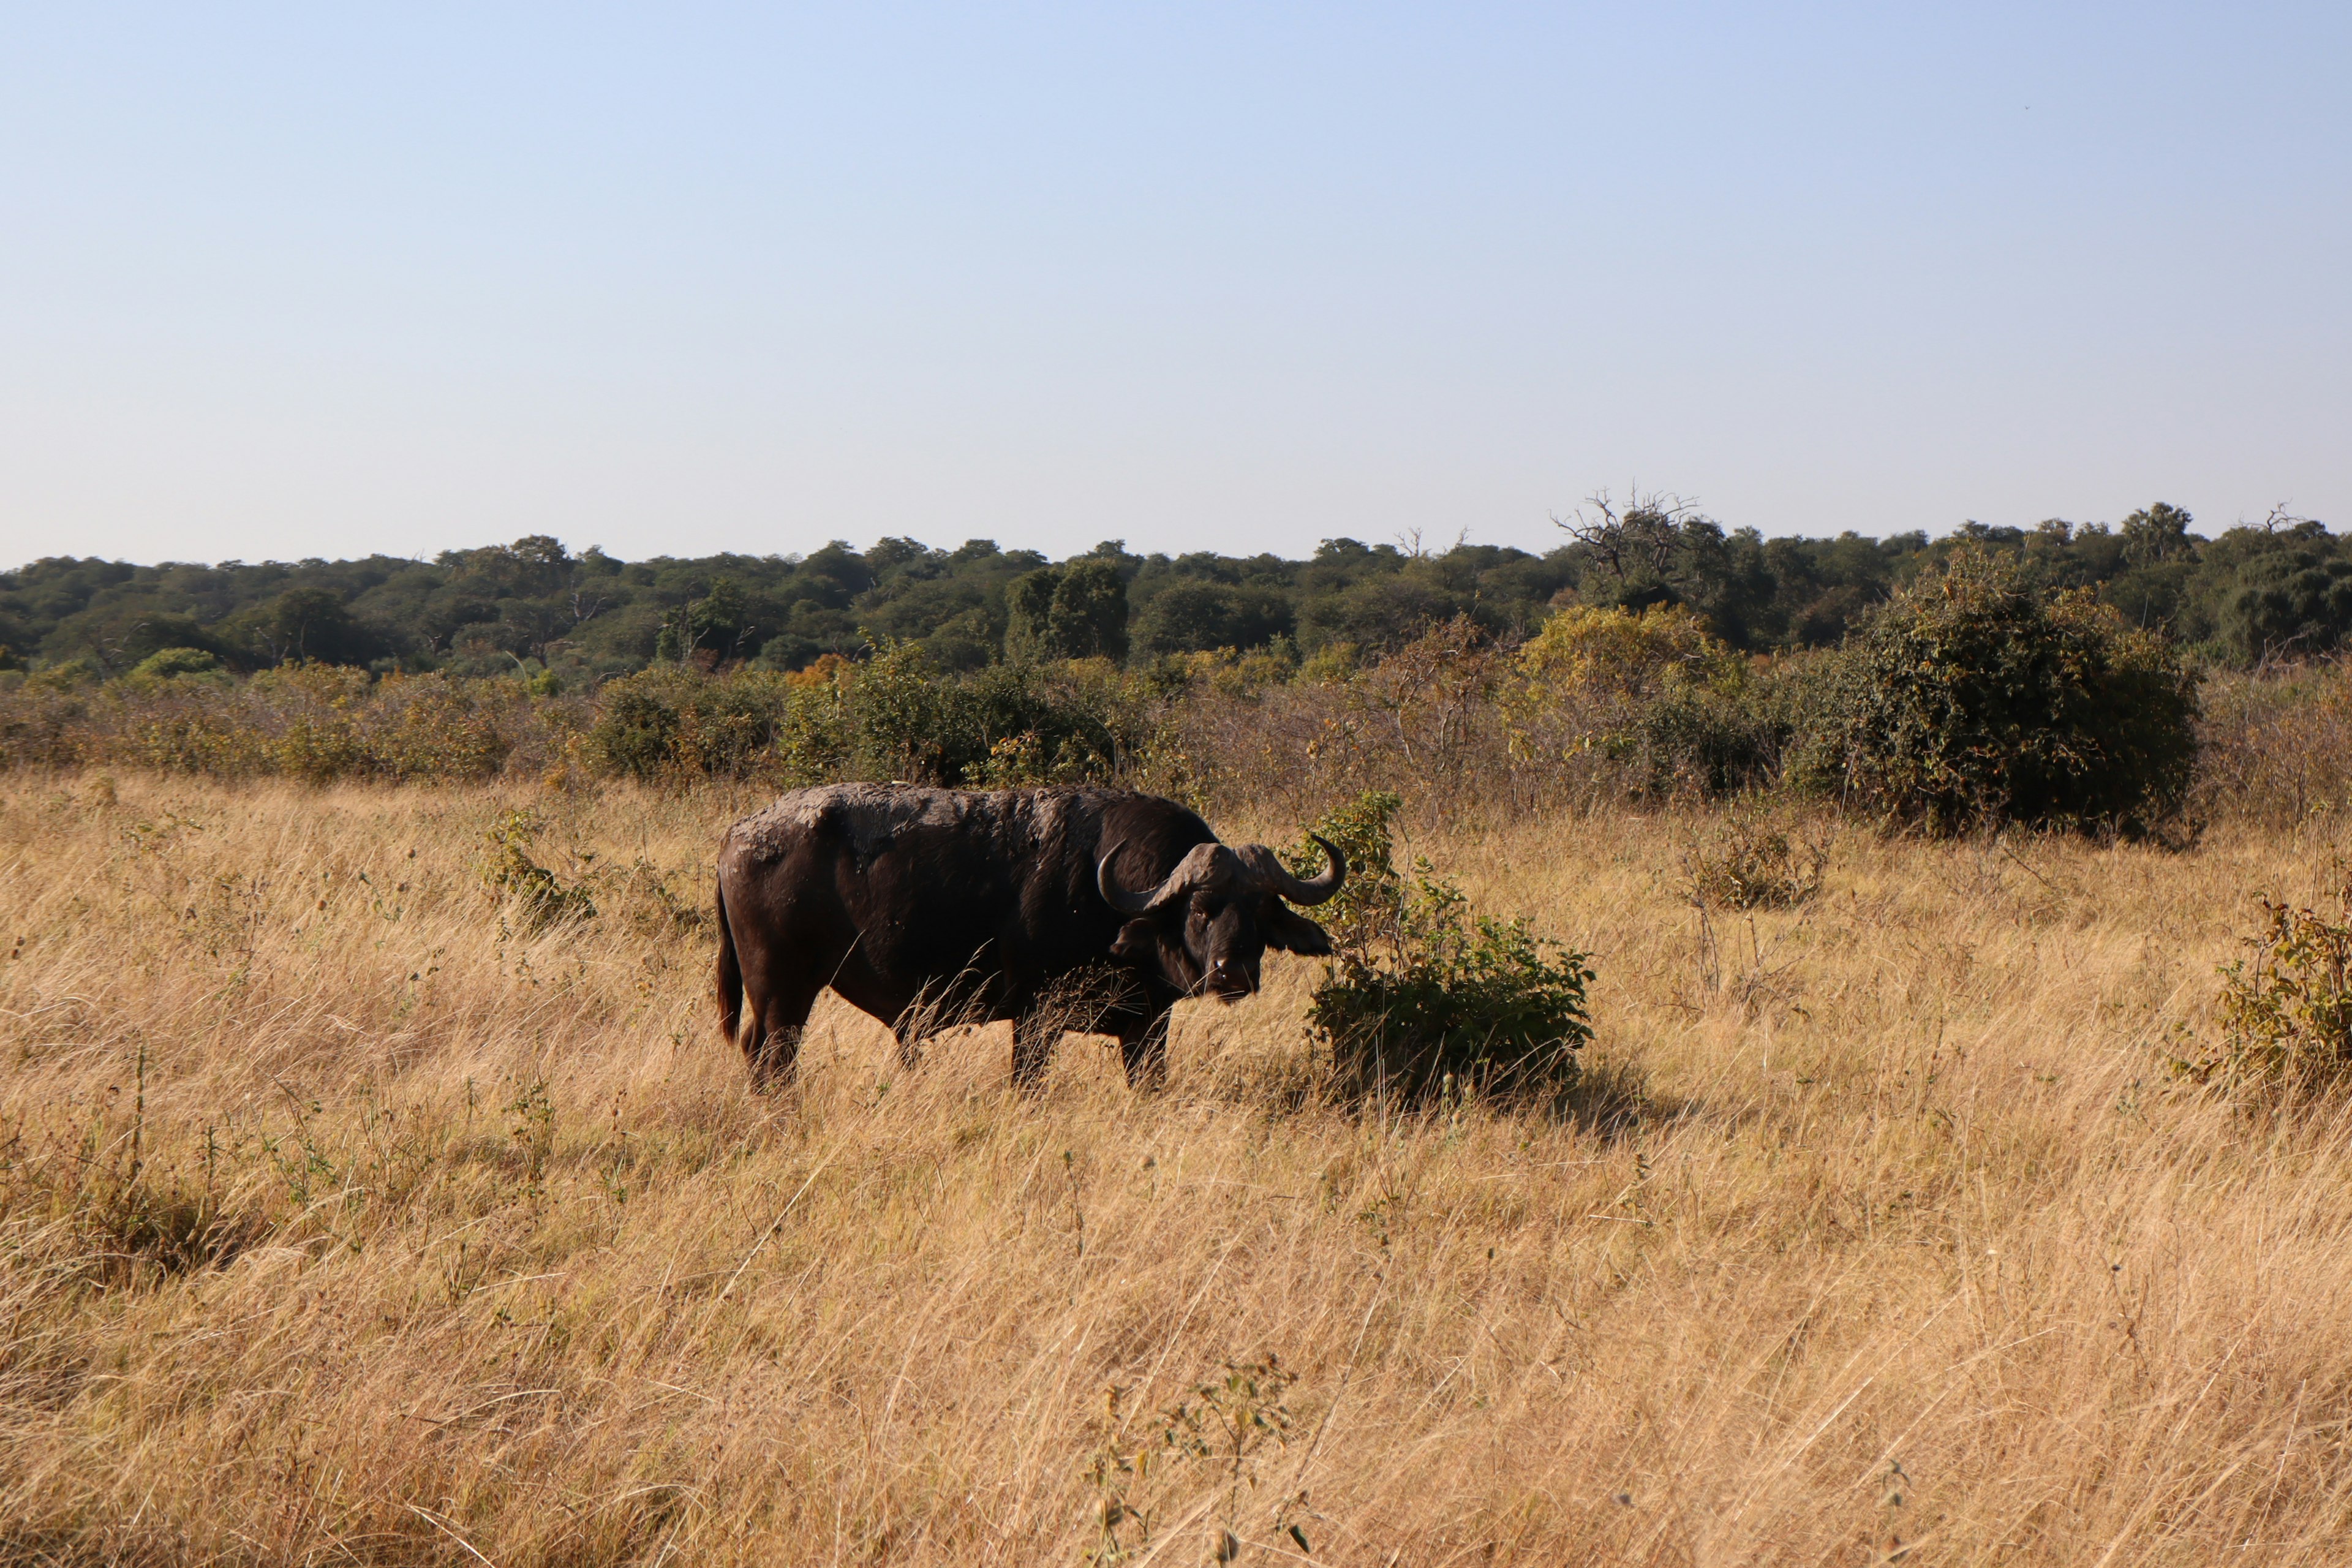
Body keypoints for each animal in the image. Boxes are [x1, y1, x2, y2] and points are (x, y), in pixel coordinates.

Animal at [710, 785, 1345, 1090]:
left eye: (1261, 912)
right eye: (1202, 908)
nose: (1232, 974)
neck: (1102, 897)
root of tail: (739, 835)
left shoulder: (1148, 1025)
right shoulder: (1037, 1019)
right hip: (782, 994)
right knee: (771, 1059)